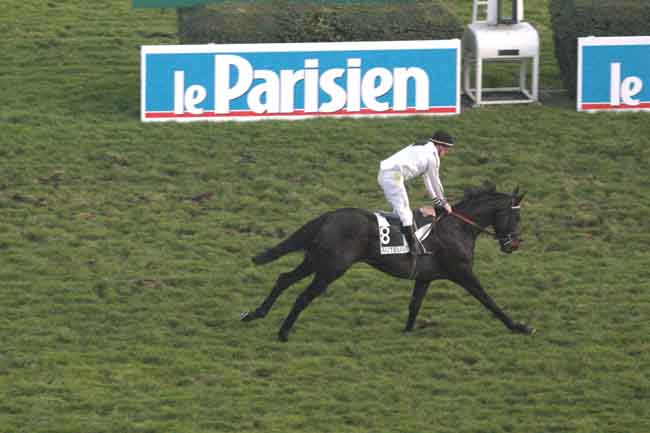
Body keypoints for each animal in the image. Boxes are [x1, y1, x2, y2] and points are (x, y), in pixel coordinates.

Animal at [240, 184, 536, 340]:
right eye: (516, 216)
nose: (514, 243)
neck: (458, 227)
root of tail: (328, 216)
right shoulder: (463, 273)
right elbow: (489, 301)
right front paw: (520, 326)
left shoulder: (425, 277)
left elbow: (415, 304)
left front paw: (406, 331)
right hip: (331, 268)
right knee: (303, 296)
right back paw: (283, 332)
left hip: (315, 261)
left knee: (284, 279)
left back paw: (255, 313)